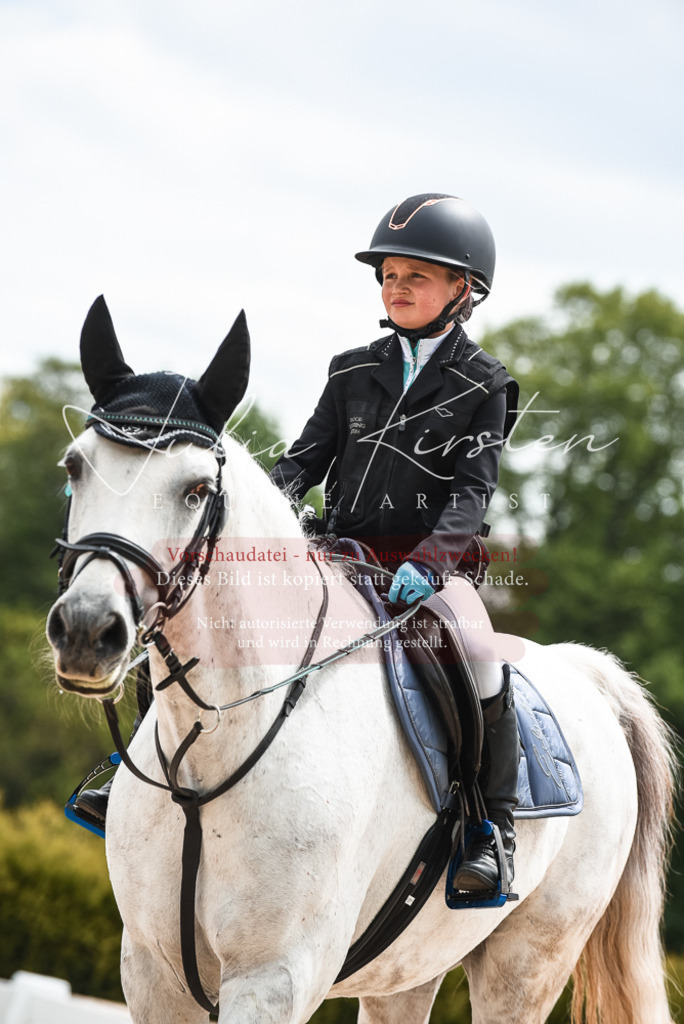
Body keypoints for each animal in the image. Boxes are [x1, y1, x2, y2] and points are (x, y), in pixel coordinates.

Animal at [46, 297, 677, 1024]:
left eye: (196, 489)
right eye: (74, 467)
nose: (87, 631)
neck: (211, 749)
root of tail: (585, 675)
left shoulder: (274, 978)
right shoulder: (154, 972)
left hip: (529, 962)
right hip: (407, 967)